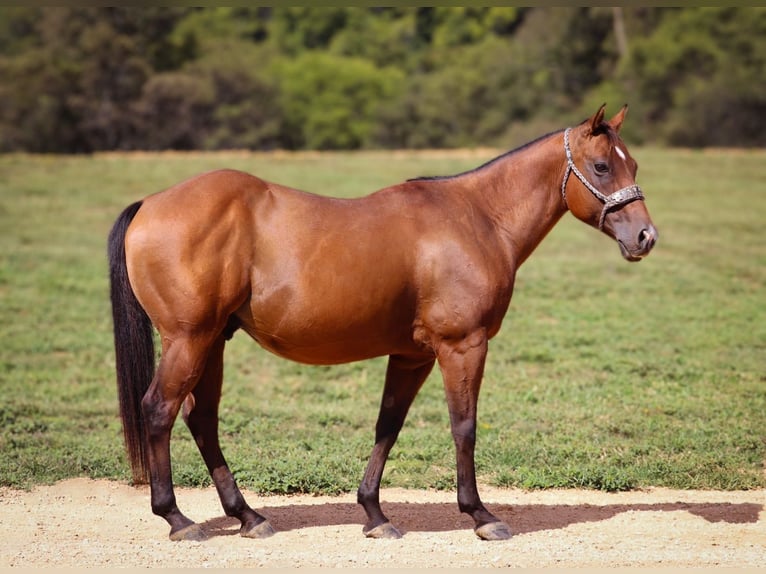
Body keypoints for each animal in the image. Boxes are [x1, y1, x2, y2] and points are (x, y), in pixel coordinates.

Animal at [108, 104, 657, 542]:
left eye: (632, 163)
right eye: (602, 165)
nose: (646, 236)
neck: (478, 218)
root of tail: (150, 204)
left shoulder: (412, 355)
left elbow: (387, 425)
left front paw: (374, 514)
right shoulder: (462, 346)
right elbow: (464, 426)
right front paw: (480, 515)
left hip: (213, 342)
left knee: (201, 419)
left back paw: (248, 516)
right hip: (189, 339)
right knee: (159, 410)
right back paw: (178, 519)